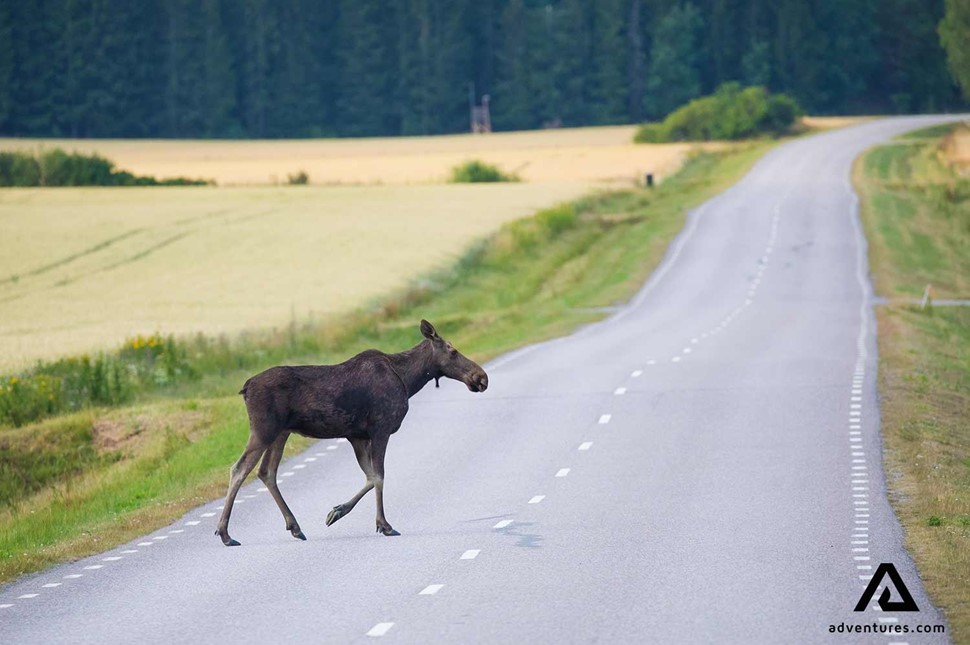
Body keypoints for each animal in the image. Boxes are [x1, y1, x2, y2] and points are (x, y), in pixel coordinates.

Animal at [212, 316, 484, 544]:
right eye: (452, 350)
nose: (481, 377)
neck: (409, 380)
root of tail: (246, 388)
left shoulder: (357, 436)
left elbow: (370, 477)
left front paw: (337, 511)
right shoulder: (380, 428)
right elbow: (379, 476)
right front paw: (384, 525)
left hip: (281, 432)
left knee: (266, 472)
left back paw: (295, 527)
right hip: (264, 429)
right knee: (239, 469)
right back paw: (225, 533)